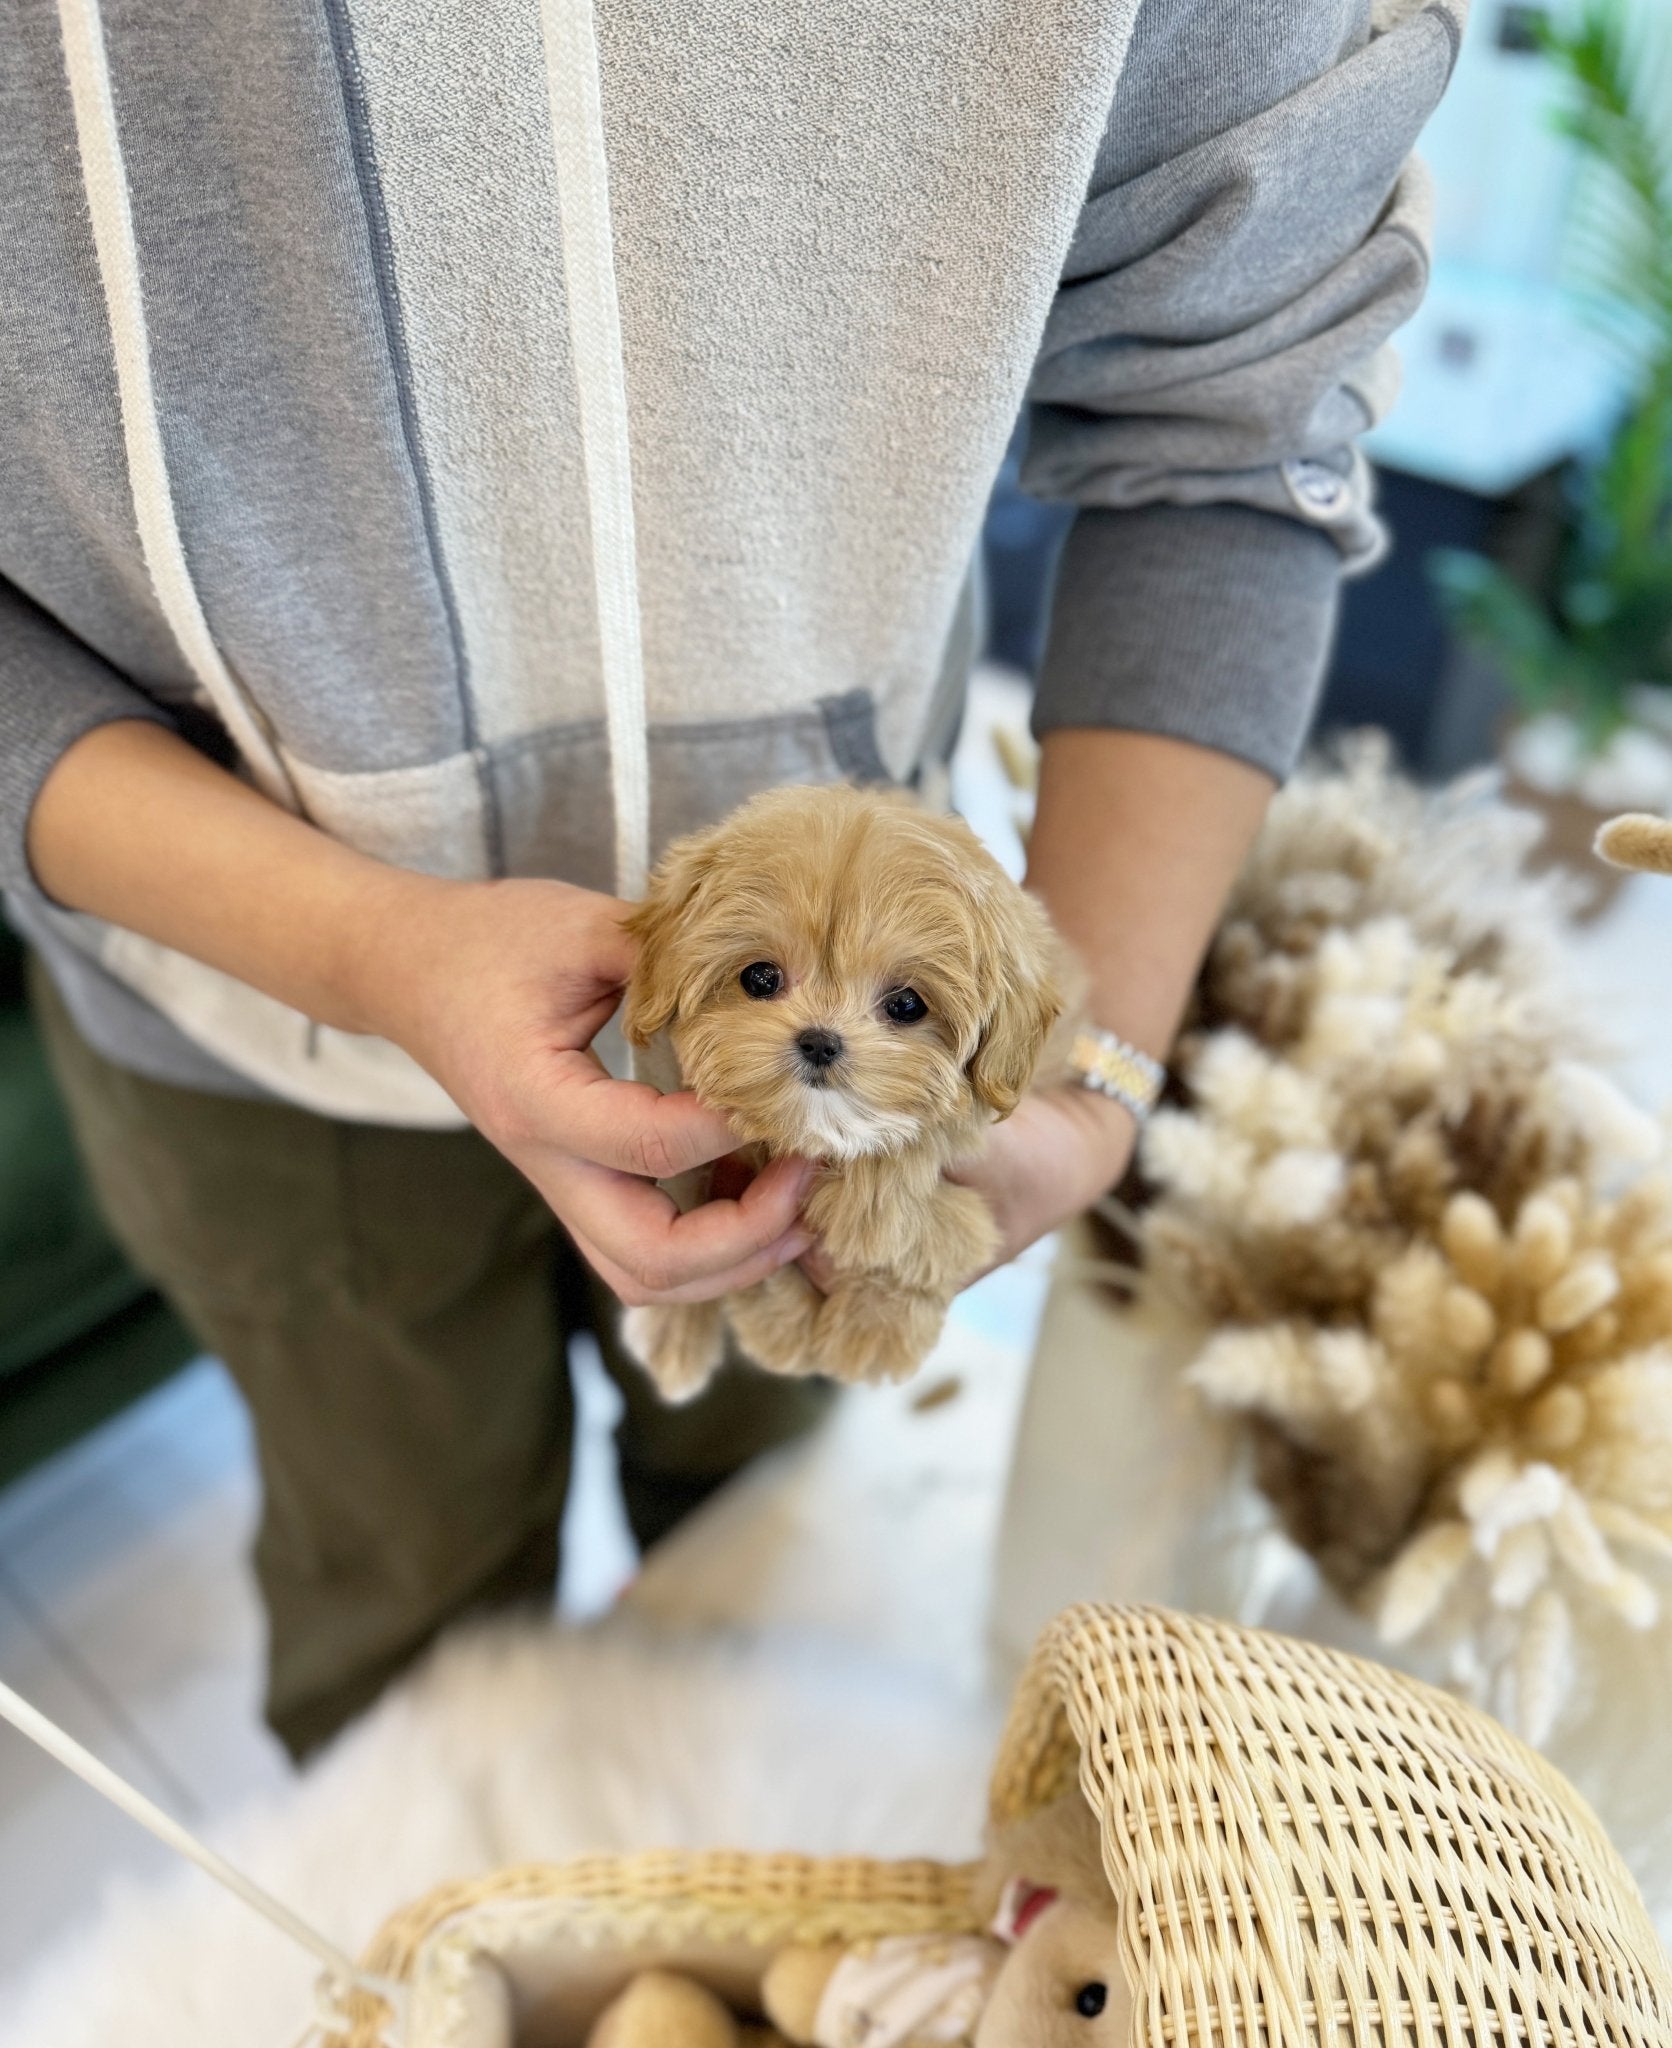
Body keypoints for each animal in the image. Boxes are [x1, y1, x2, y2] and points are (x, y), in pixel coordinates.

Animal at [618, 774, 1065, 1400]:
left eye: (906, 1004)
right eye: (761, 977)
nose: (820, 1041)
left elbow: (928, 1203)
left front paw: (871, 1318)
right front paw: (753, 1322)